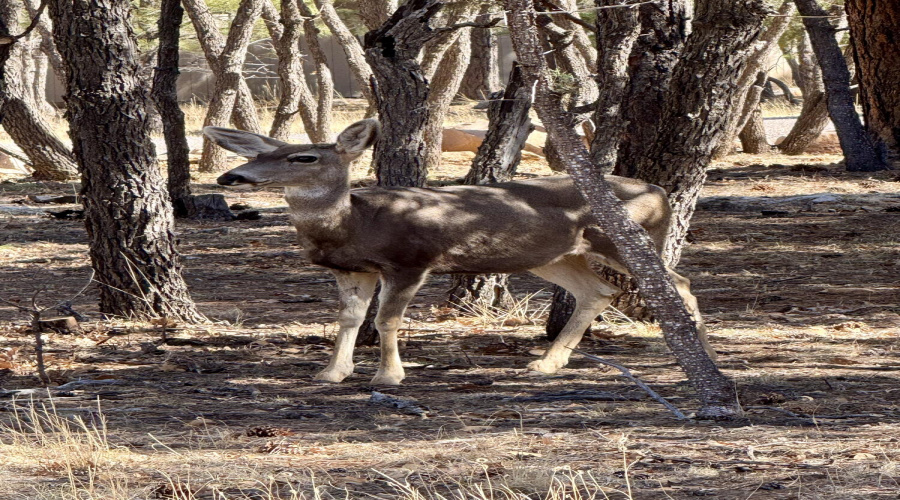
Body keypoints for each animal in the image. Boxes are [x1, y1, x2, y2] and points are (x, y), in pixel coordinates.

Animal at [206, 119, 716, 384]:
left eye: (304, 157)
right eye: (258, 154)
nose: (231, 177)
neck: (354, 224)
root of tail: (659, 191)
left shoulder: (409, 261)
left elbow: (385, 320)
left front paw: (388, 376)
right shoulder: (352, 270)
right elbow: (348, 319)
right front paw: (332, 372)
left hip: (627, 239)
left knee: (681, 282)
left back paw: (704, 356)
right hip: (556, 254)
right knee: (597, 292)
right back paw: (545, 363)